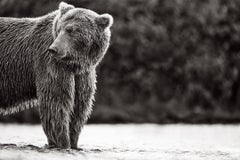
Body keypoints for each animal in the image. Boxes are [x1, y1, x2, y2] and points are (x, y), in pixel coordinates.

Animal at [0, 1, 113, 149]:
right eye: (60, 29)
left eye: (71, 30)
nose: (54, 49)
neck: (74, 63)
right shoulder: (50, 64)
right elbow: (56, 104)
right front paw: (62, 142)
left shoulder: (83, 74)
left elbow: (79, 108)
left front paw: (74, 142)